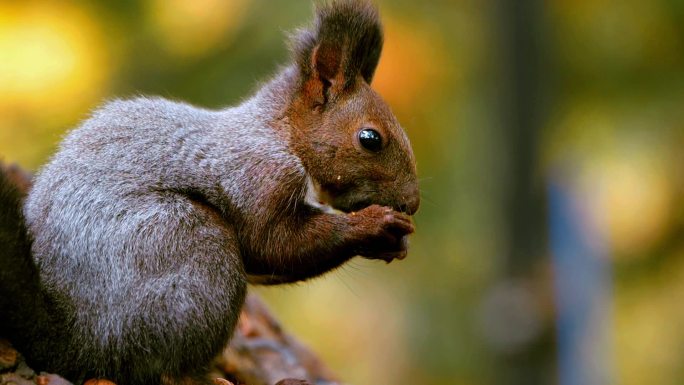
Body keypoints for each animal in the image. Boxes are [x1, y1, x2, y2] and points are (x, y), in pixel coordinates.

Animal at [0, 0, 420, 384]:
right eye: (370, 138)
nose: (412, 203)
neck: (280, 135)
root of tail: (80, 338)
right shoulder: (257, 175)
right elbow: (276, 244)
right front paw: (376, 225)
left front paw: (392, 243)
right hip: (190, 249)